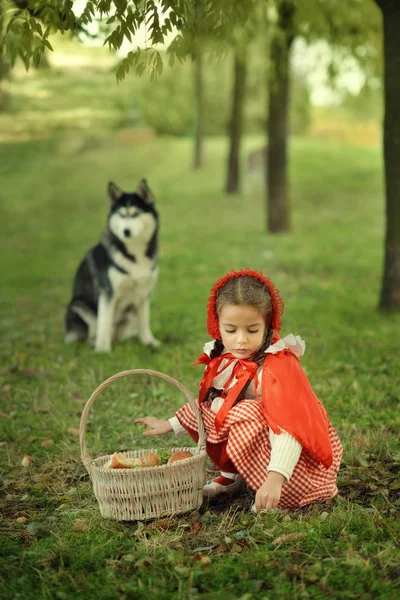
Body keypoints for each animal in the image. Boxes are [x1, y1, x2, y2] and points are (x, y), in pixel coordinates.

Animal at [65, 178, 160, 352]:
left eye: (135, 214)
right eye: (121, 215)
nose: (126, 231)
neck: (135, 254)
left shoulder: (144, 292)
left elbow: (144, 321)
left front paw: (149, 342)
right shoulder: (107, 293)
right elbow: (104, 322)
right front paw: (102, 350)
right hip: (79, 304)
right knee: (91, 331)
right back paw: (94, 342)